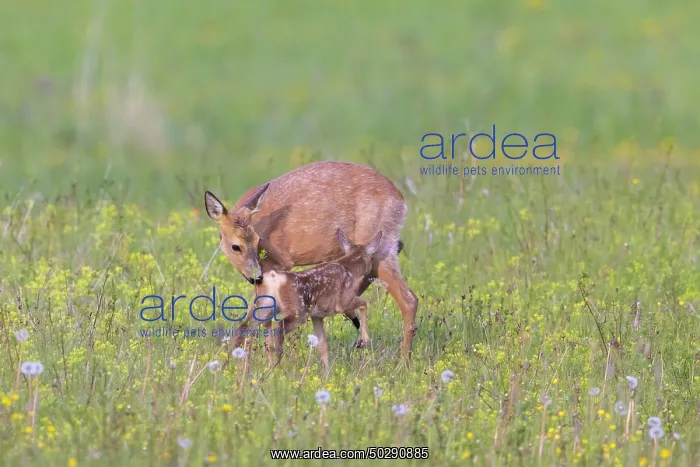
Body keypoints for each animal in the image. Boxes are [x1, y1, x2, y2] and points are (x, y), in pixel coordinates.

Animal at [243, 229, 393, 370]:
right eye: (372, 259)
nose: (372, 271)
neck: (349, 268)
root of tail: (274, 278)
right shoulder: (343, 302)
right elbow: (364, 303)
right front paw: (364, 341)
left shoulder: (317, 316)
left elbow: (323, 346)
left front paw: (326, 374)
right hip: (298, 311)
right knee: (278, 326)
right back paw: (275, 366)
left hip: (264, 305)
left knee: (251, 327)